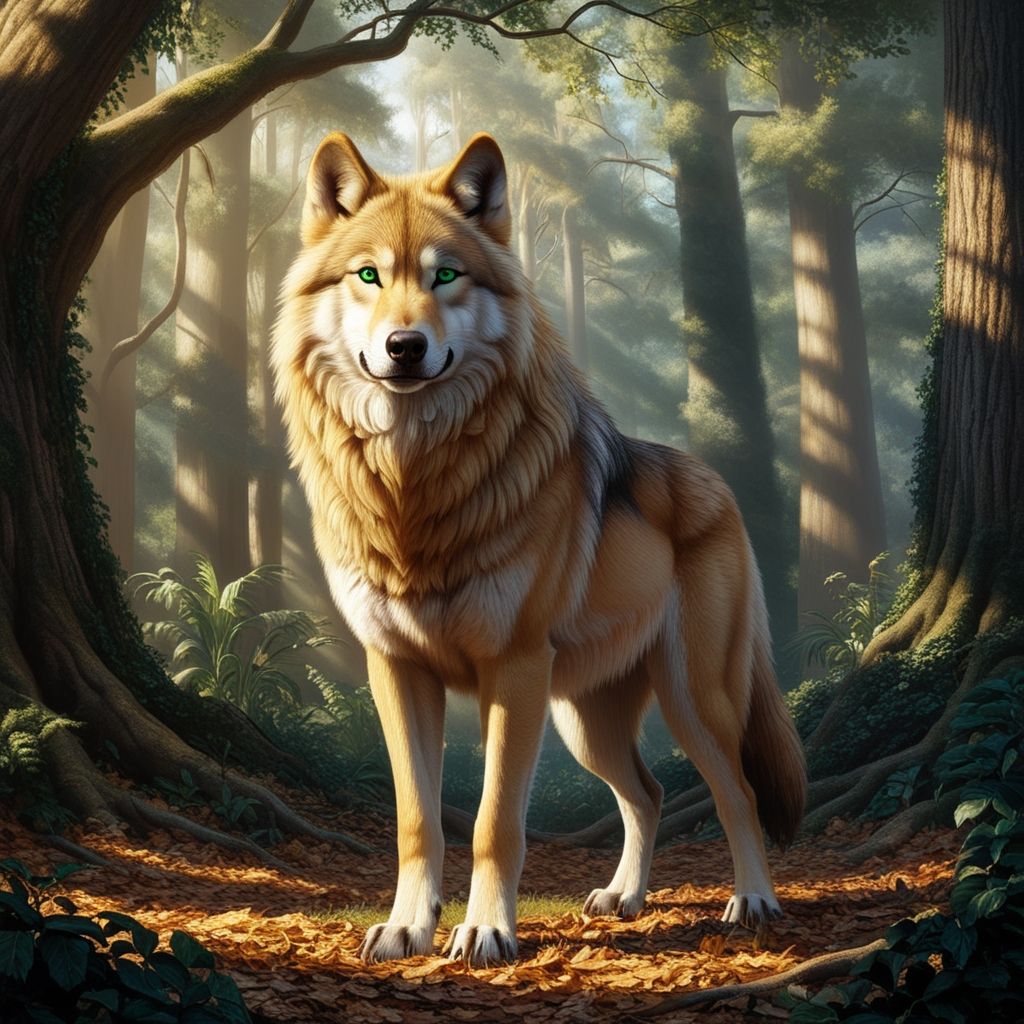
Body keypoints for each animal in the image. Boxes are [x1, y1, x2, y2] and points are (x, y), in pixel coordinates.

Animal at [272, 132, 806, 968]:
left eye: (446, 275)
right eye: (368, 276)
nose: (404, 346)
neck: (415, 487)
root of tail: (715, 481)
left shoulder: (513, 671)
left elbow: (494, 822)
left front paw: (485, 931)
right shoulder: (396, 670)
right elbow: (418, 820)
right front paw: (407, 928)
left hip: (692, 700)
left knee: (738, 793)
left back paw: (752, 901)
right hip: (584, 722)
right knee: (648, 793)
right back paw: (624, 897)